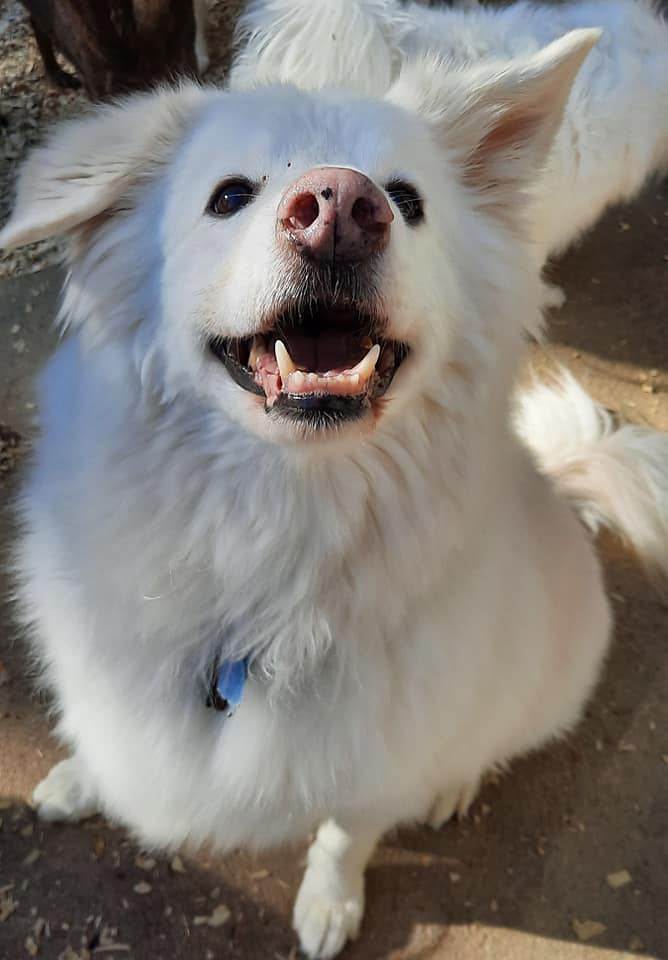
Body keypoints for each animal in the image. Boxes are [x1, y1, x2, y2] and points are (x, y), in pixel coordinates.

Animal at [1, 1, 668, 960]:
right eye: (228, 195)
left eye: (408, 200)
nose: (343, 210)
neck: (273, 531)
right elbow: (111, 743)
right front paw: (80, 781)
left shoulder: (373, 759)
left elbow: (347, 835)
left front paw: (328, 906)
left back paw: (451, 784)